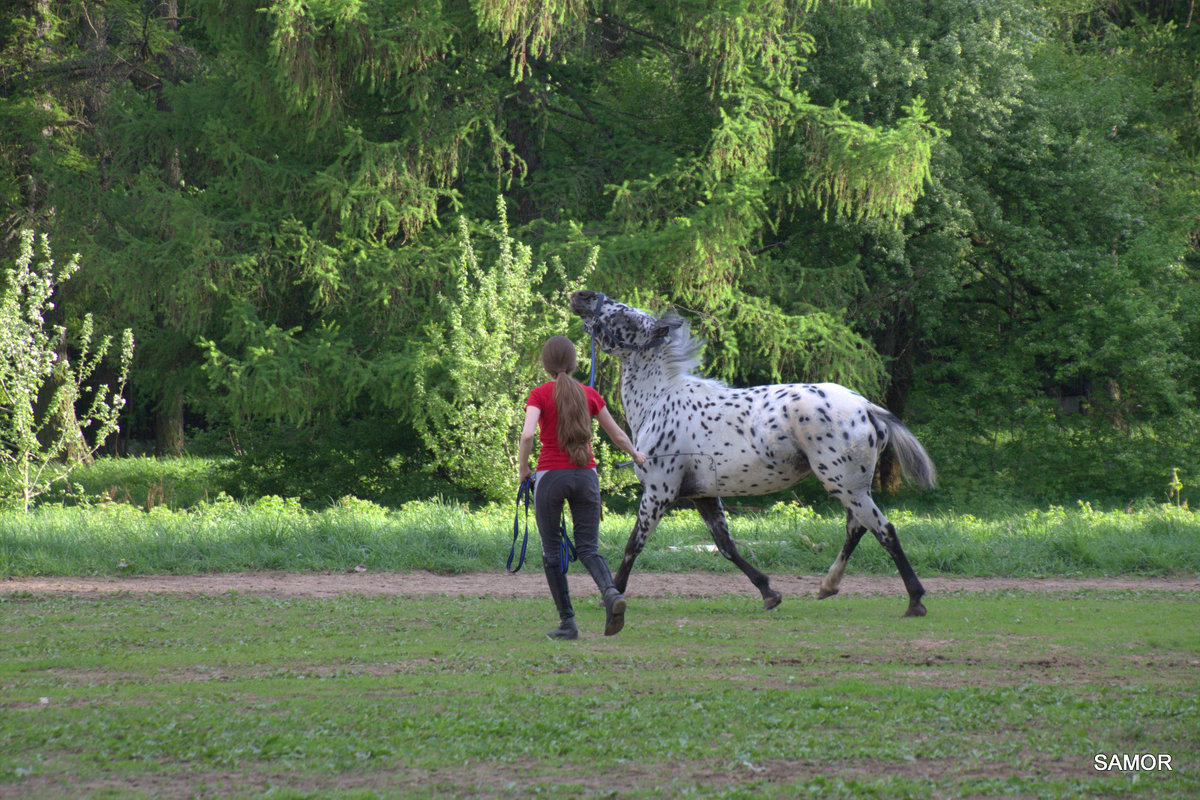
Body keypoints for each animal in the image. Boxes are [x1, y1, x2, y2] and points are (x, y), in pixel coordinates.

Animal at [571, 289, 936, 618]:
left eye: (625, 317)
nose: (583, 296)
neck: (660, 401)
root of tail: (865, 407)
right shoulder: (703, 495)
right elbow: (727, 547)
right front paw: (769, 593)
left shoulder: (659, 492)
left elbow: (633, 544)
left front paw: (614, 595)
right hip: (850, 487)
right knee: (857, 529)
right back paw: (827, 586)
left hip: (846, 486)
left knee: (884, 530)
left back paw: (914, 600)